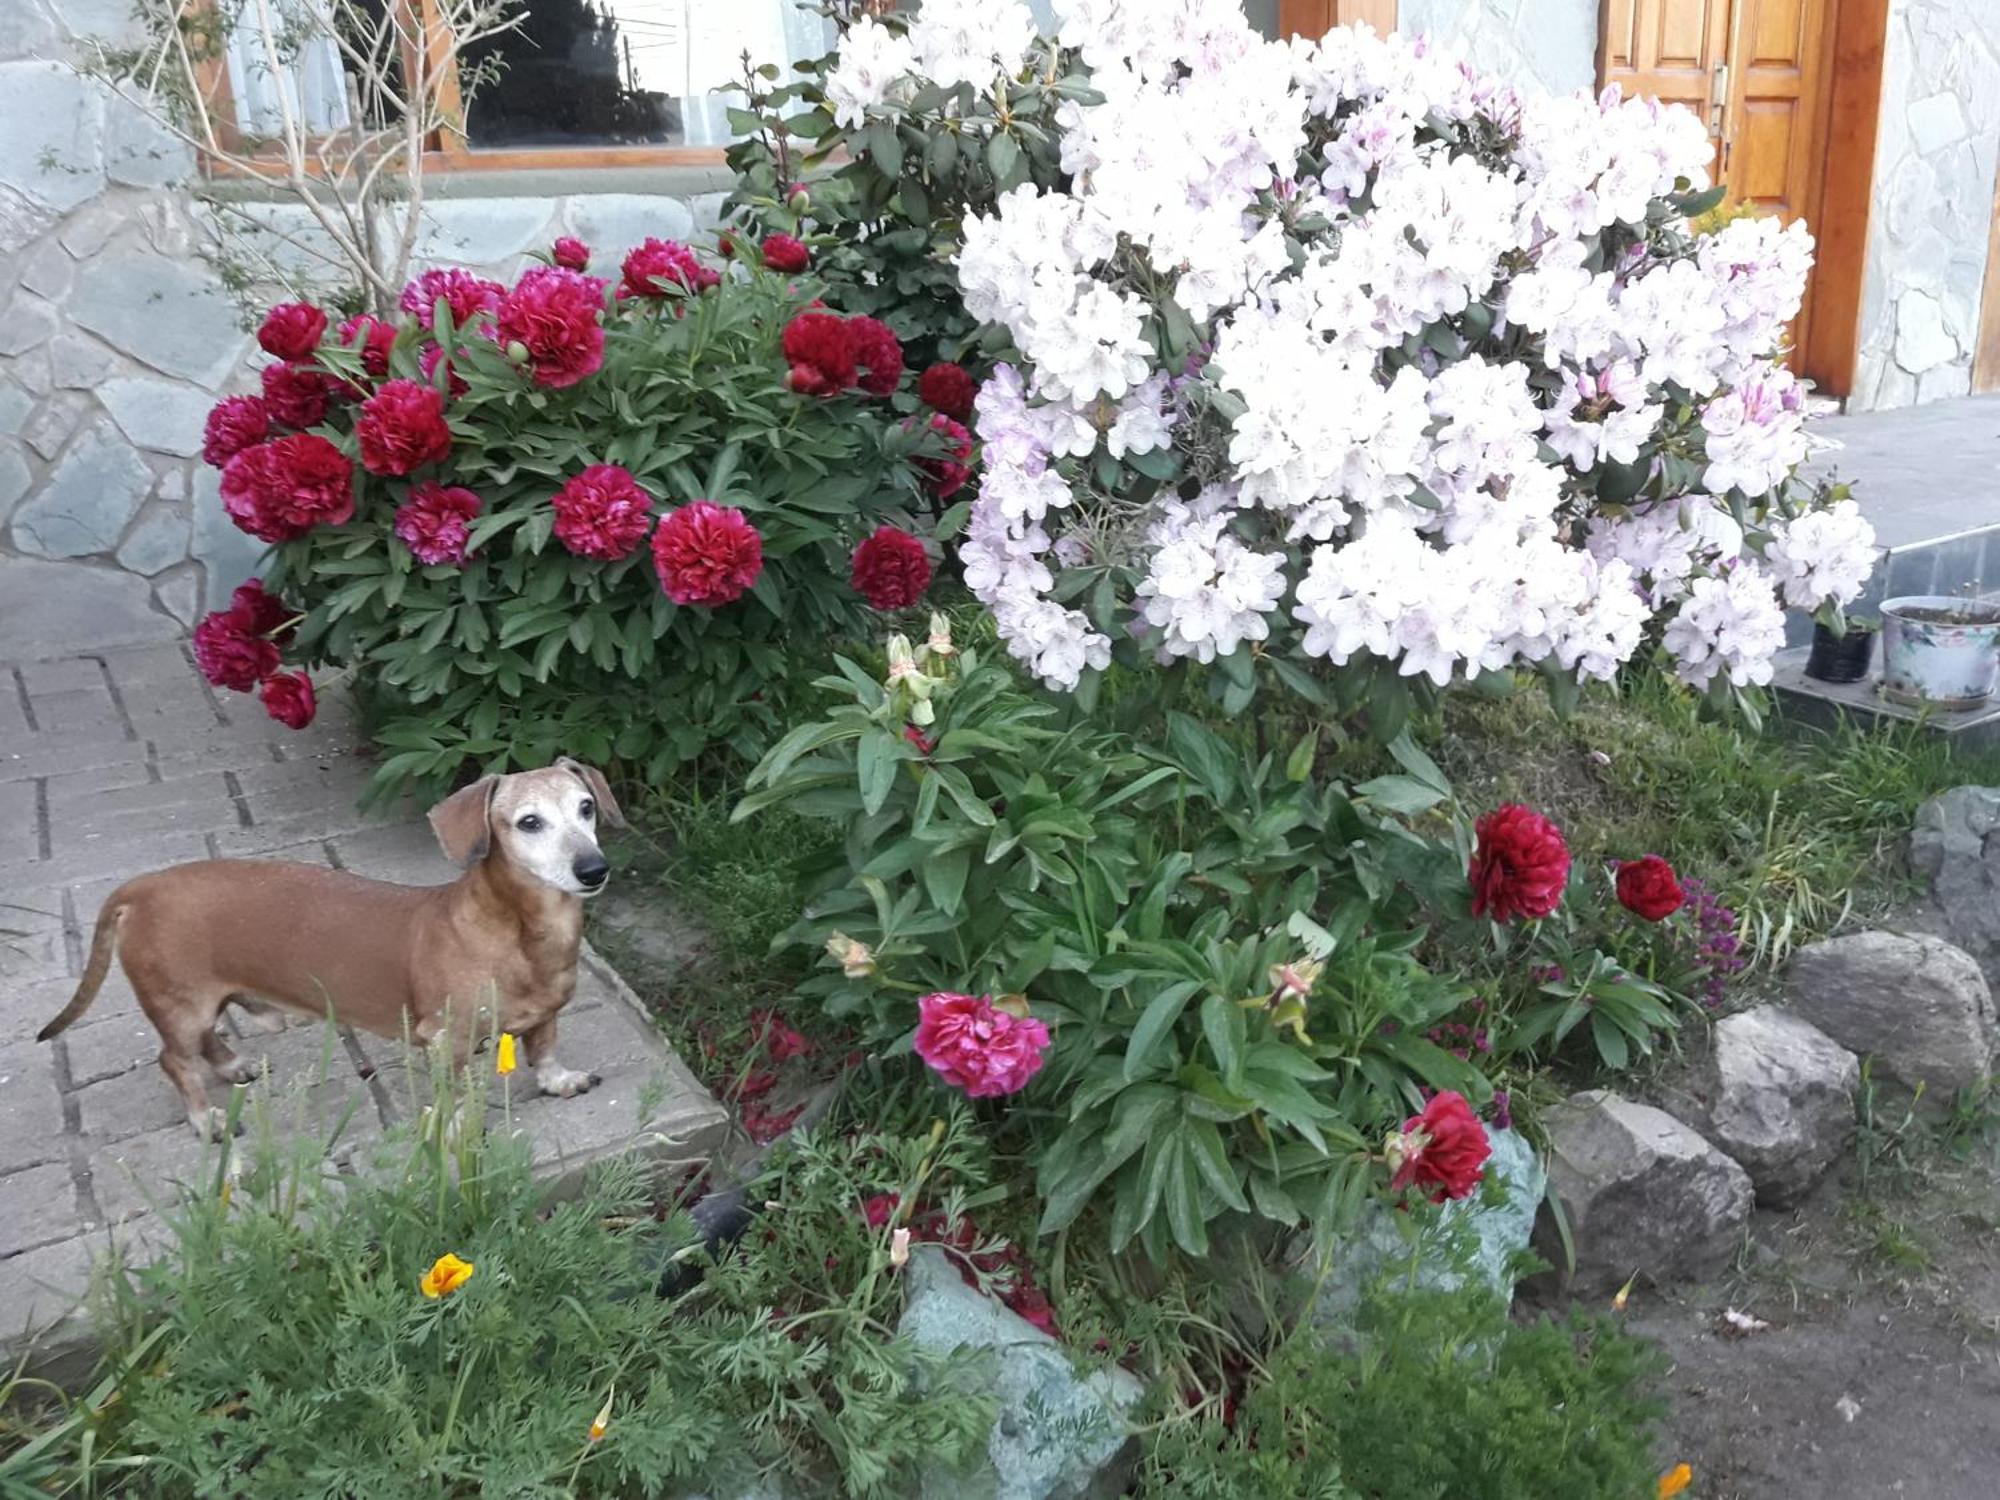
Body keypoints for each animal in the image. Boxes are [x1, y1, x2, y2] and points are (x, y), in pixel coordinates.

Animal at [37, 764, 624, 1136]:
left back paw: (231, 1066)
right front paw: (458, 1126)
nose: (594, 870)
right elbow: (457, 1090)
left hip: (197, 1003)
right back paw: (206, 1121)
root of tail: (140, 887)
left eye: (586, 808)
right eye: (529, 822)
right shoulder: (445, 1041)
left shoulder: (546, 1015)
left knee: (202, 1042)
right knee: (175, 1060)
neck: (517, 931)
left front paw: (559, 1080)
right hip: (181, 1004)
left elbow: (544, 1049)